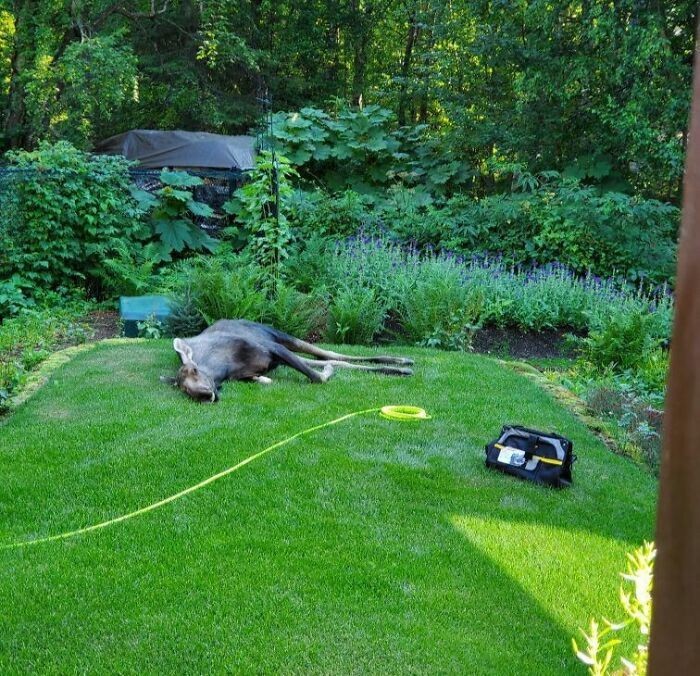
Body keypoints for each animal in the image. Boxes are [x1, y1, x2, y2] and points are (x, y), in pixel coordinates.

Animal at [163, 318, 416, 402]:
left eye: (194, 369)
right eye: (183, 389)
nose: (203, 395)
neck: (225, 368)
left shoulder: (273, 348)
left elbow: (317, 377)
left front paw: (327, 373)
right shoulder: (260, 367)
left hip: (283, 337)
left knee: (332, 354)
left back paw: (403, 362)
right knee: (334, 360)